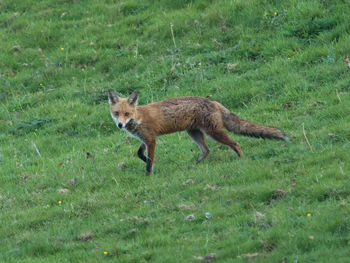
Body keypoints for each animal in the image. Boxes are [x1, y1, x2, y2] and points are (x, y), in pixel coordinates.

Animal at [108, 91, 290, 175]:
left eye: (126, 114)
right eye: (116, 113)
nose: (120, 124)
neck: (138, 117)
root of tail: (214, 102)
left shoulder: (151, 139)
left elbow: (149, 161)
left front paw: (148, 174)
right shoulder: (144, 139)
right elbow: (139, 153)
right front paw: (145, 161)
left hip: (213, 132)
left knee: (235, 143)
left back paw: (241, 158)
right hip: (194, 133)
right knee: (206, 150)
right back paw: (196, 164)